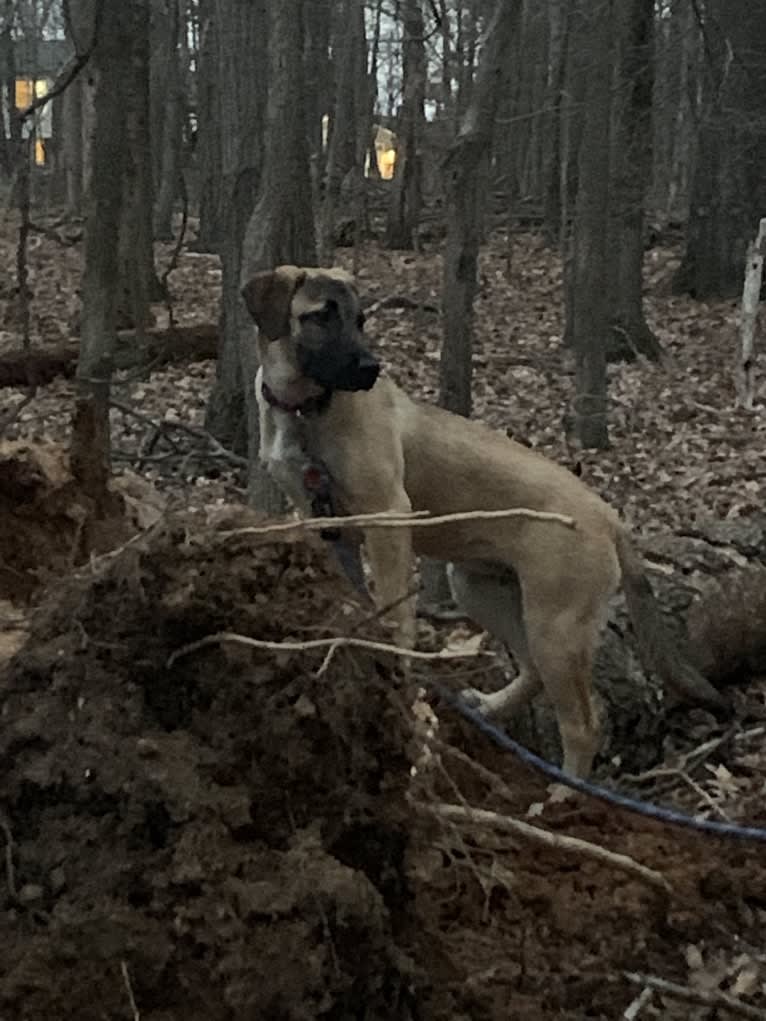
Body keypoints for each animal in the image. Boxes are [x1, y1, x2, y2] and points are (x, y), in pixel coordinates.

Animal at [244, 267, 727, 775]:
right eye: (321, 316)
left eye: (360, 320)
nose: (370, 369)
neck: (302, 411)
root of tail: (607, 516)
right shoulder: (323, 521)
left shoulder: (387, 514)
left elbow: (394, 608)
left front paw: (393, 652)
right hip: (483, 589)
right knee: (532, 673)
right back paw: (493, 707)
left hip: (556, 626)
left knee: (582, 724)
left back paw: (564, 789)